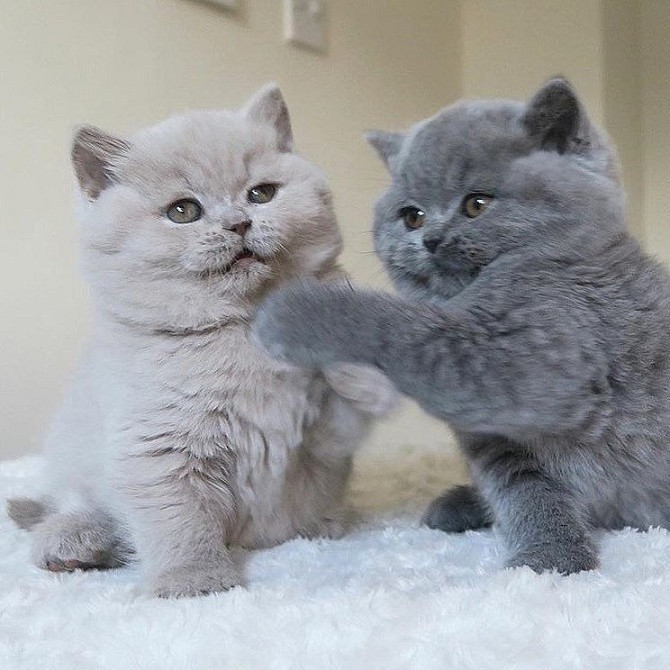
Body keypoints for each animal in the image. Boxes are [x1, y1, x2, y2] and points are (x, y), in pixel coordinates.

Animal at [7, 85, 396, 600]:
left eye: (261, 193)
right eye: (183, 211)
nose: (239, 223)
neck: (243, 331)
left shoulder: (327, 444)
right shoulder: (158, 449)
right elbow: (180, 520)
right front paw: (194, 581)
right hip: (76, 453)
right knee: (72, 504)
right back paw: (74, 543)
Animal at [253, 77, 670, 572]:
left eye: (476, 204)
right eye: (411, 215)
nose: (432, 239)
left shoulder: (535, 356)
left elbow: (403, 328)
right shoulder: (495, 441)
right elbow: (524, 489)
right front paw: (547, 553)